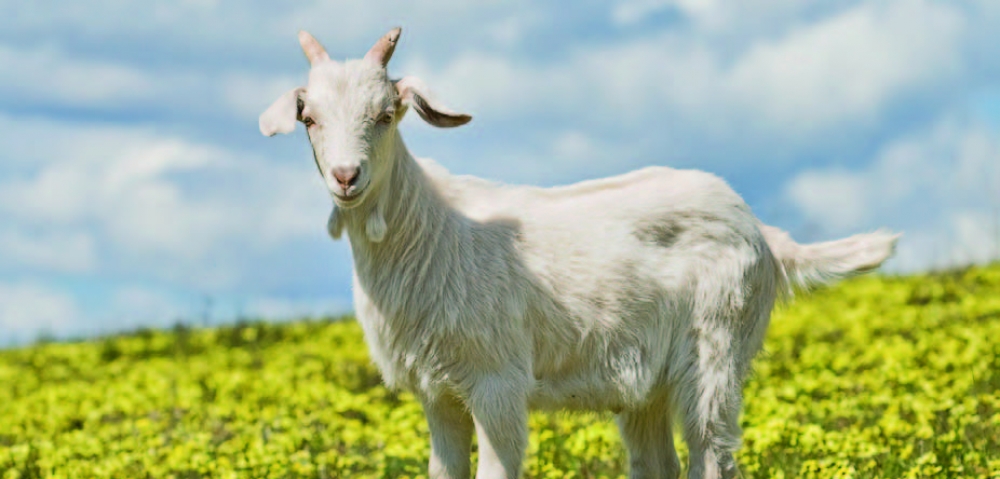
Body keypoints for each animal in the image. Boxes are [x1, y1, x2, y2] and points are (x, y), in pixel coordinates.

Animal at [260, 28, 899, 479]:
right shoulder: (437, 394)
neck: (431, 230)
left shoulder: (497, 382)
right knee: (658, 462)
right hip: (647, 381)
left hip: (718, 346)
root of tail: (763, 232)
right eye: (309, 118)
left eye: (386, 114)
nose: (347, 177)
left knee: (713, 454)